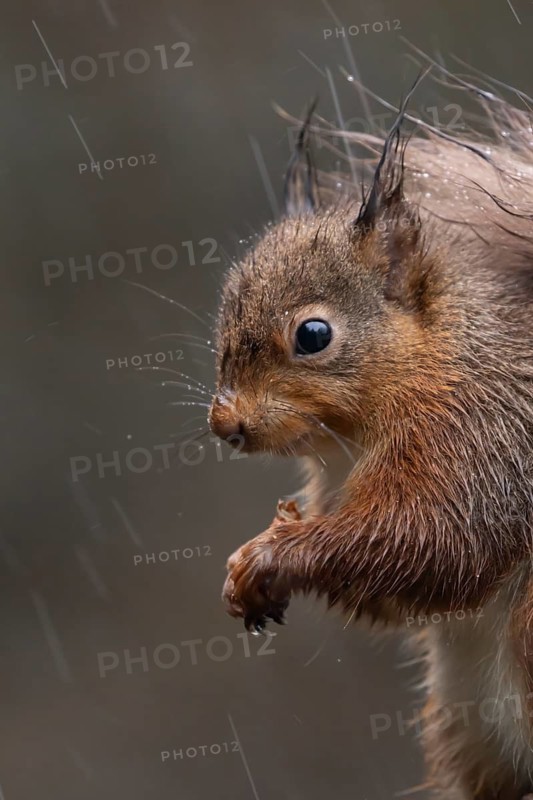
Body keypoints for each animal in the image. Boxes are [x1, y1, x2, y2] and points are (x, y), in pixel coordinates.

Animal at [208, 65, 533, 800]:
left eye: (313, 335)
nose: (225, 425)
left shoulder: (482, 437)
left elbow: (430, 539)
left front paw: (274, 553)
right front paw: (253, 566)